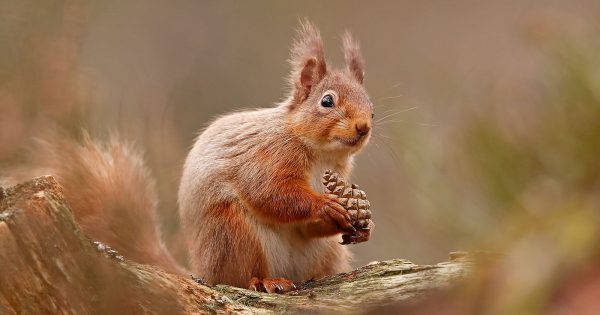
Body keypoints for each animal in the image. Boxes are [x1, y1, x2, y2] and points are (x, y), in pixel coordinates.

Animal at [27, 21, 376, 296]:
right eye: (327, 101)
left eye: (371, 107)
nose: (364, 126)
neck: (321, 154)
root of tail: (202, 271)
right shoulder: (268, 157)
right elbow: (271, 193)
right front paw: (324, 205)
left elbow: (305, 225)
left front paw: (362, 225)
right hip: (234, 233)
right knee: (239, 276)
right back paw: (266, 281)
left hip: (322, 253)